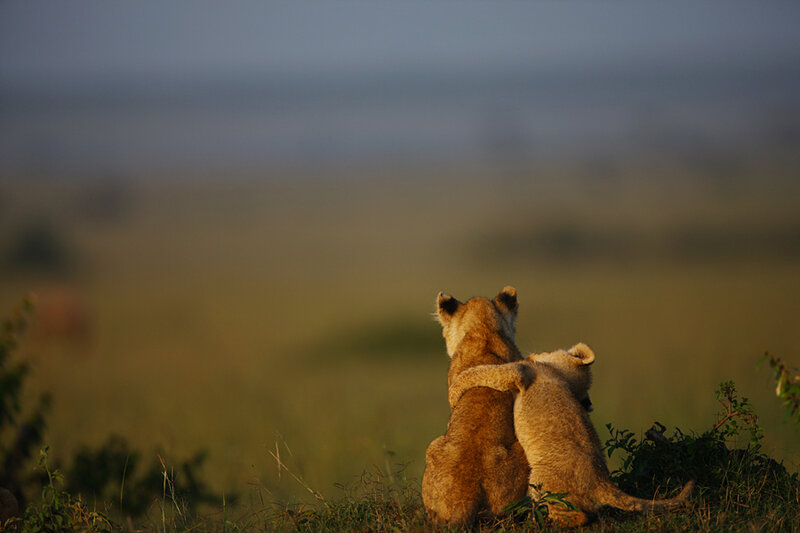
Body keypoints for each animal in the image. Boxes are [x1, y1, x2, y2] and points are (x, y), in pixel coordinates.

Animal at [449, 343, 694, 527]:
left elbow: (486, 372)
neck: (560, 376)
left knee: (578, 517)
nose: (534, 353)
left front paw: (455, 390)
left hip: (540, 478)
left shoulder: (522, 372)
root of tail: (601, 482)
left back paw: (542, 521)